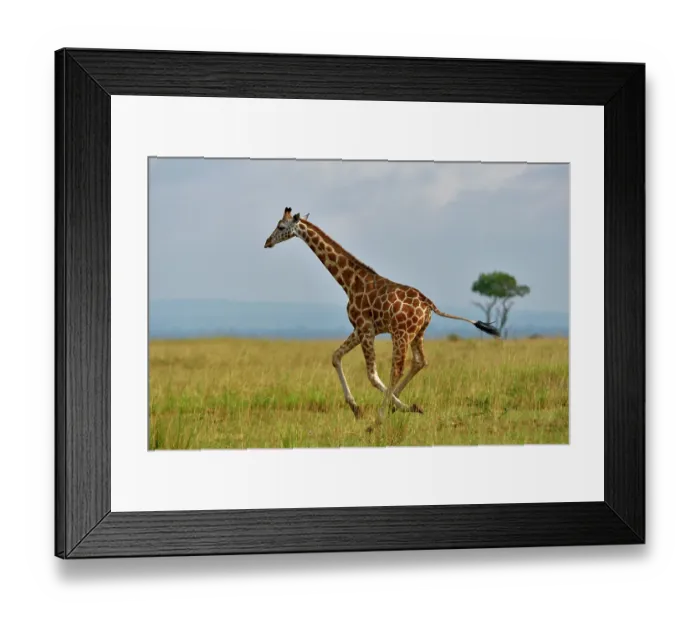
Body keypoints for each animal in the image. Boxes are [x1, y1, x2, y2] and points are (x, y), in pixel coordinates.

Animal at [264, 207, 500, 419]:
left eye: (281, 226)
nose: (267, 242)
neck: (350, 282)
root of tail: (429, 305)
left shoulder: (365, 328)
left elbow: (372, 375)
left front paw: (391, 409)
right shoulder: (361, 329)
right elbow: (336, 356)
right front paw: (356, 408)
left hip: (401, 333)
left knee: (398, 368)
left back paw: (382, 415)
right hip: (418, 333)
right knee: (420, 361)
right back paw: (395, 404)